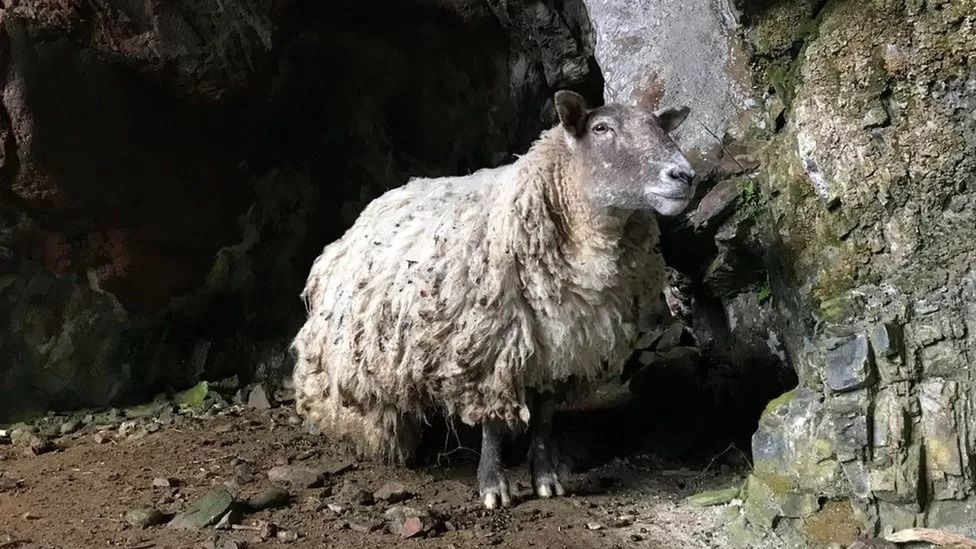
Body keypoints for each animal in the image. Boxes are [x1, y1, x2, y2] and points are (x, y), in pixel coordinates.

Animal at [290, 89, 692, 506]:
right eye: (601, 128)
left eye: (659, 126)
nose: (685, 175)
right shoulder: (489, 346)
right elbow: (494, 425)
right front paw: (493, 485)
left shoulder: (560, 346)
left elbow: (545, 417)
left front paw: (546, 478)